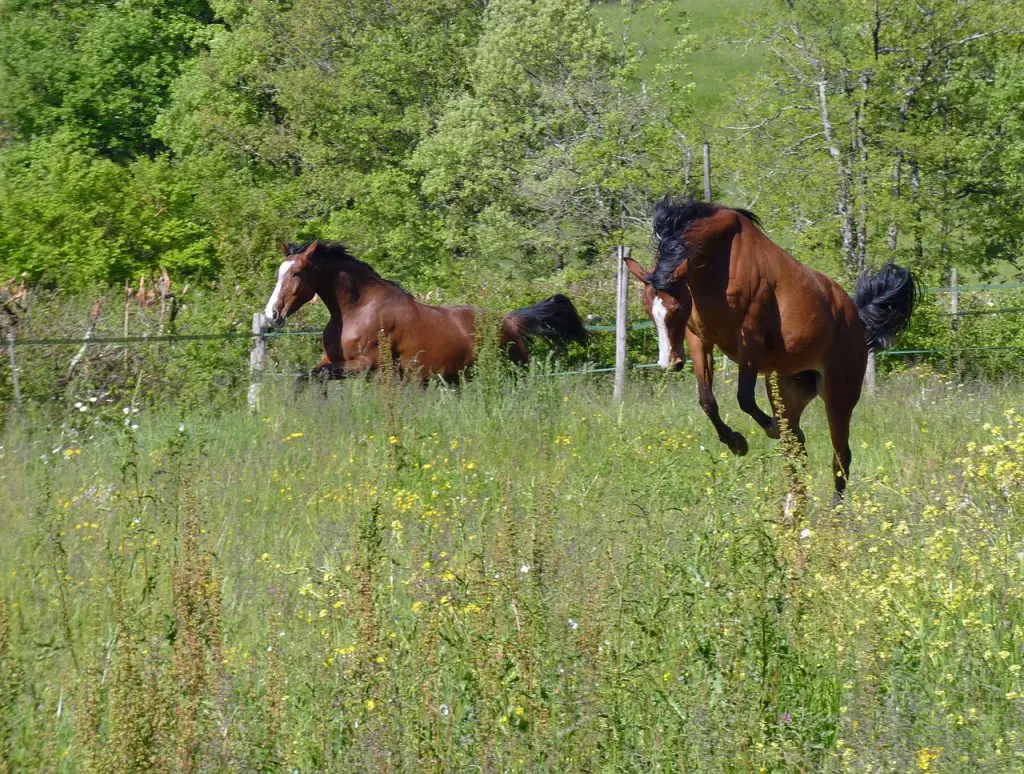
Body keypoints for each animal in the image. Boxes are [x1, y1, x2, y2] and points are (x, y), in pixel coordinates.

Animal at [262, 240, 585, 384]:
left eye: (297, 274)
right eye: (278, 272)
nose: (271, 315)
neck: (356, 312)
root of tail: (509, 321)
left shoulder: (367, 366)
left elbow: (320, 375)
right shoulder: (332, 361)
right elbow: (306, 377)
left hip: (511, 372)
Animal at [622, 196, 921, 505]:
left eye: (677, 307)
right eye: (648, 309)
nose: (669, 363)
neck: (721, 263)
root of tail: (857, 320)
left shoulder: (750, 338)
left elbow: (743, 397)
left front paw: (763, 430)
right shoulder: (699, 340)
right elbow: (707, 400)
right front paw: (736, 443)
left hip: (839, 397)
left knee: (840, 457)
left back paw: (833, 510)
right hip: (788, 392)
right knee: (797, 448)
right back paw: (794, 508)